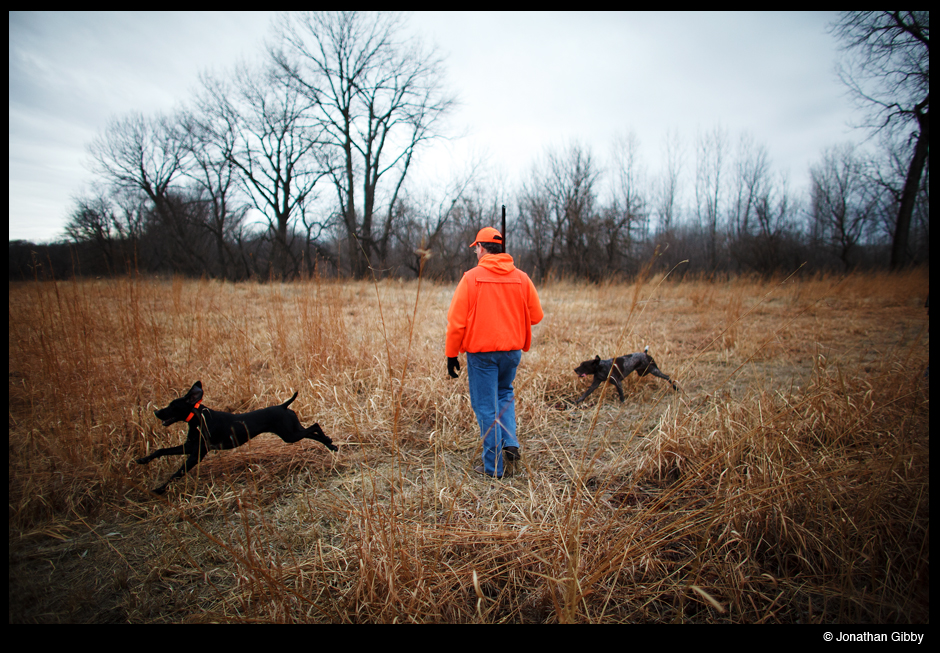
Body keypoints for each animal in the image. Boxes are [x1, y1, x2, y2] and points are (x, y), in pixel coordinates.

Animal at [136, 380, 334, 492]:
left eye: (172, 406)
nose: (156, 412)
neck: (199, 418)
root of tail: (283, 405)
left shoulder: (197, 453)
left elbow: (178, 472)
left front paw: (160, 489)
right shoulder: (191, 446)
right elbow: (162, 451)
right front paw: (143, 460)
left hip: (290, 434)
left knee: (315, 426)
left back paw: (330, 442)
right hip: (292, 432)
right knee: (314, 430)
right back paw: (330, 444)